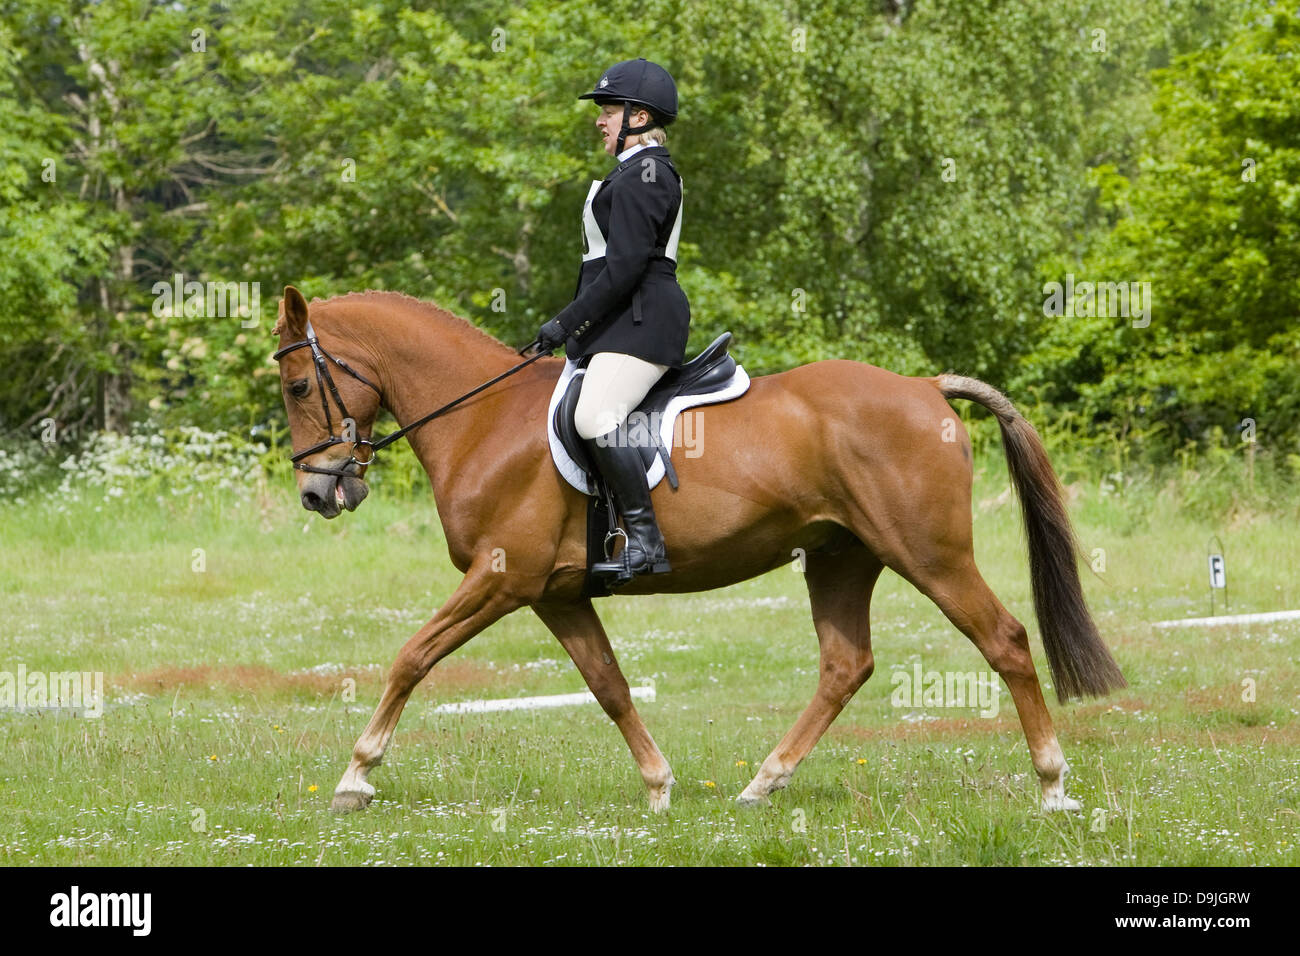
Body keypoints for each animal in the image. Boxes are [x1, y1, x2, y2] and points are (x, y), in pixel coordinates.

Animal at [269, 283, 1123, 816]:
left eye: (299, 388)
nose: (316, 493)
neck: (484, 419)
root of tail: (924, 387)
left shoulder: (501, 580)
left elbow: (412, 657)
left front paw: (355, 777)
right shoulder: (557, 594)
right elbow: (609, 686)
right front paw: (658, 785)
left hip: (930, 556)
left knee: (1003, 640)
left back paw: (1053, 785)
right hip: (841, 557)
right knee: (845, 666)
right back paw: (763, 783)